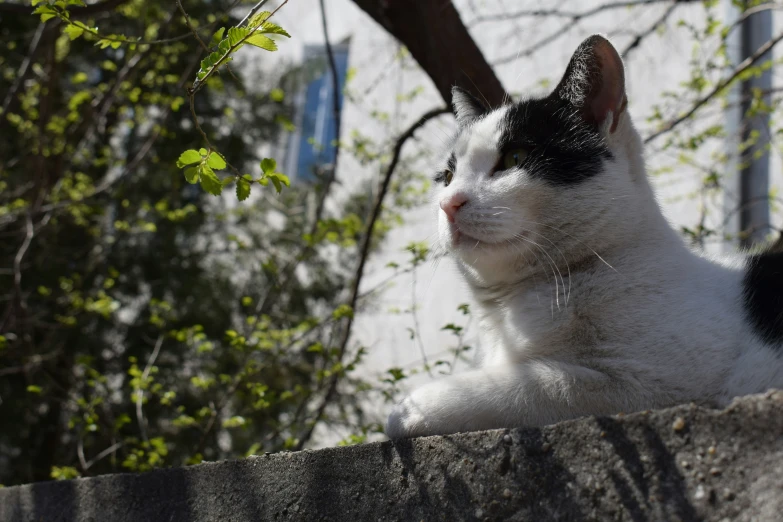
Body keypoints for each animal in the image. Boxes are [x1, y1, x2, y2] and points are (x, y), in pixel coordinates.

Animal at [386, 34, 783, 436]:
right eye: (447, 177)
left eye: (514, 159)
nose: (448, 203)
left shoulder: (660, 381)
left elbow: (542, 383)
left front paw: (409, 409)